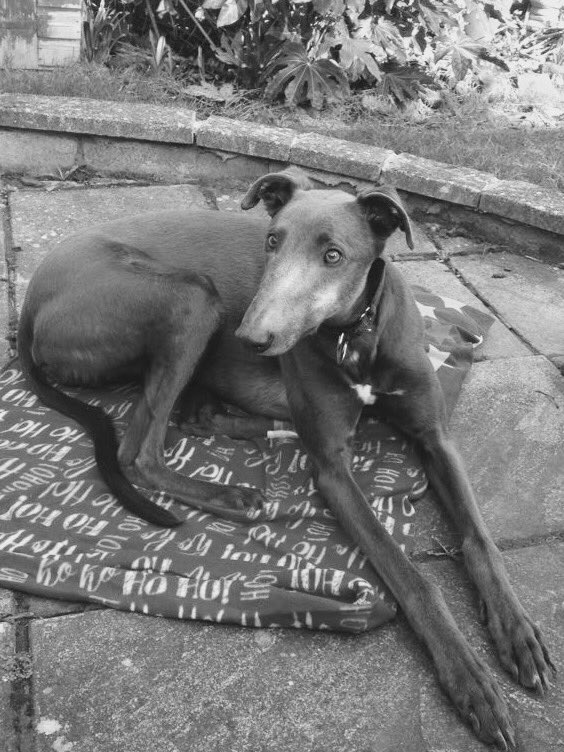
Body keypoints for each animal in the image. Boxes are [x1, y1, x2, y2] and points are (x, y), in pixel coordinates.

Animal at [17, 167, 552, 748]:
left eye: (334, 255)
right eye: (271, 241)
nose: (251, 337)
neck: (355, 336)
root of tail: (29, 304)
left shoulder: (436, 439)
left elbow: (481, 541)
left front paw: (517, 631)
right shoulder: (334, 471)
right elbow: (412, 577)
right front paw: (470, 679)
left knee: (192, 418)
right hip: (190, 297)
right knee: (139, 452)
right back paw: (230, 490)